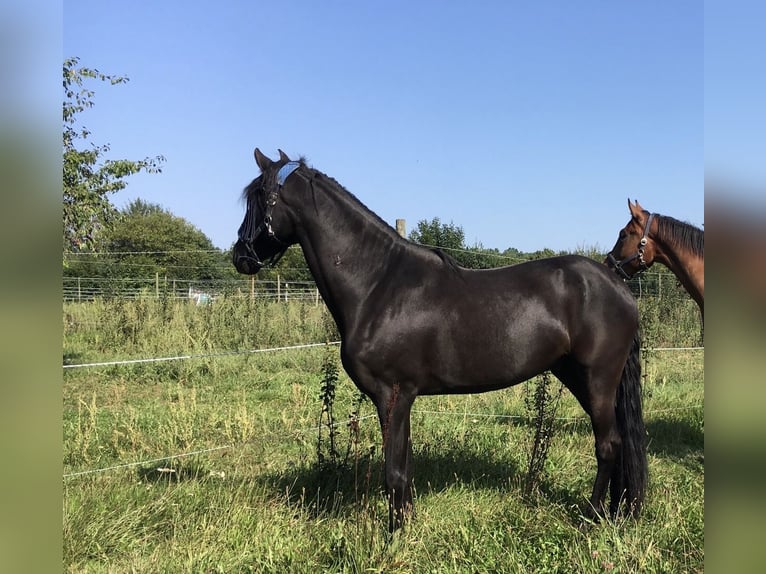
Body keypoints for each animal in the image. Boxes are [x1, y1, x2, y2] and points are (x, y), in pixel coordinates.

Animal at [234, 148, 648, 532]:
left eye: (258, 198)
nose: (240, 255)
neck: (378, 285)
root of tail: (618, 286)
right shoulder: (403, 399)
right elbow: (404, 466)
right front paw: (407, 523)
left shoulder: (391, 395)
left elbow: (393, 472)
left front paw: (394, 534)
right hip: (577, 376)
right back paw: (615, 512)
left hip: (597, 379)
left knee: (608, 445)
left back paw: (592, 516)